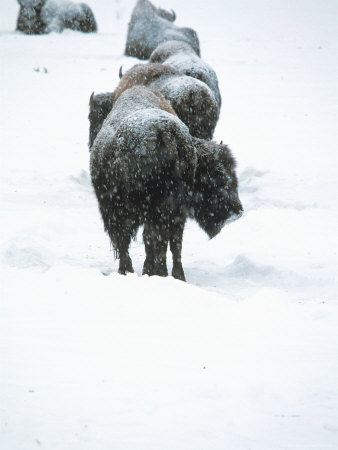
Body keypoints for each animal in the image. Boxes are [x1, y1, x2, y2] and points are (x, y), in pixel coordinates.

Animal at [90, 85, 197, 280]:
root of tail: (165, 130)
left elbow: (124, 239)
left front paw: (126, 270)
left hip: (149, 207)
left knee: (154, 238)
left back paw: (155, 272)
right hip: (179, 207)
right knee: (174, 241)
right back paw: (175, 275)